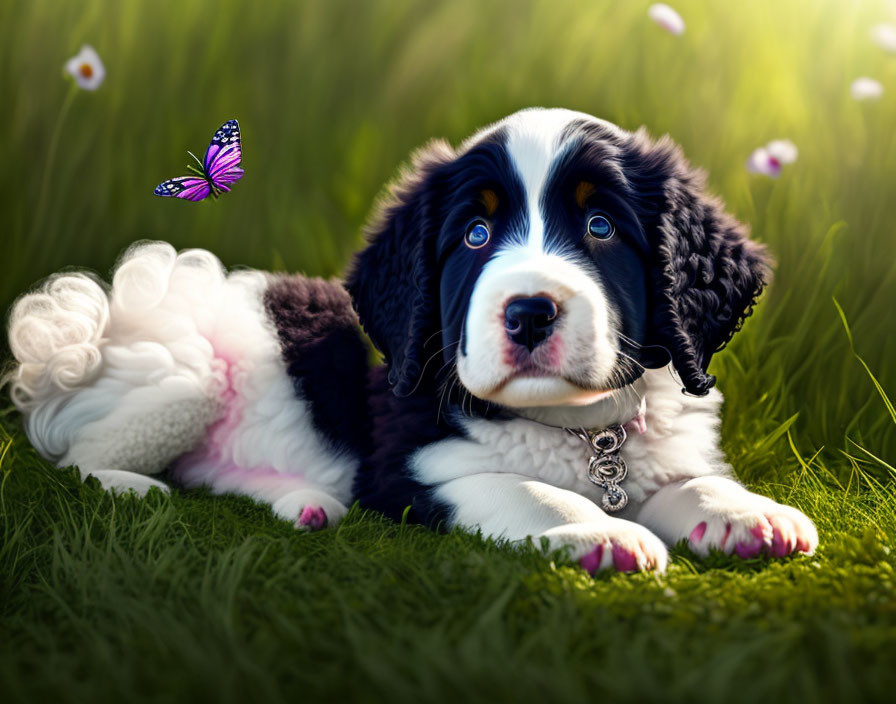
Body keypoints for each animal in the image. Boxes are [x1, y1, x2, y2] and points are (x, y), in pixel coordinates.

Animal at [7, 108, 820, 572]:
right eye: (475, 235)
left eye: (601, 227)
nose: (529, 312)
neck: (581, 428)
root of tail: (101, 315)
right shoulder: (408, 469)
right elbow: (519, 488)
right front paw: (600, 532)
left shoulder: (659, 449)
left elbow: (689, 478)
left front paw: (745, 514)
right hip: (188, 376)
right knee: (79, 462)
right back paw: (133, 487)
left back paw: (302, 502)